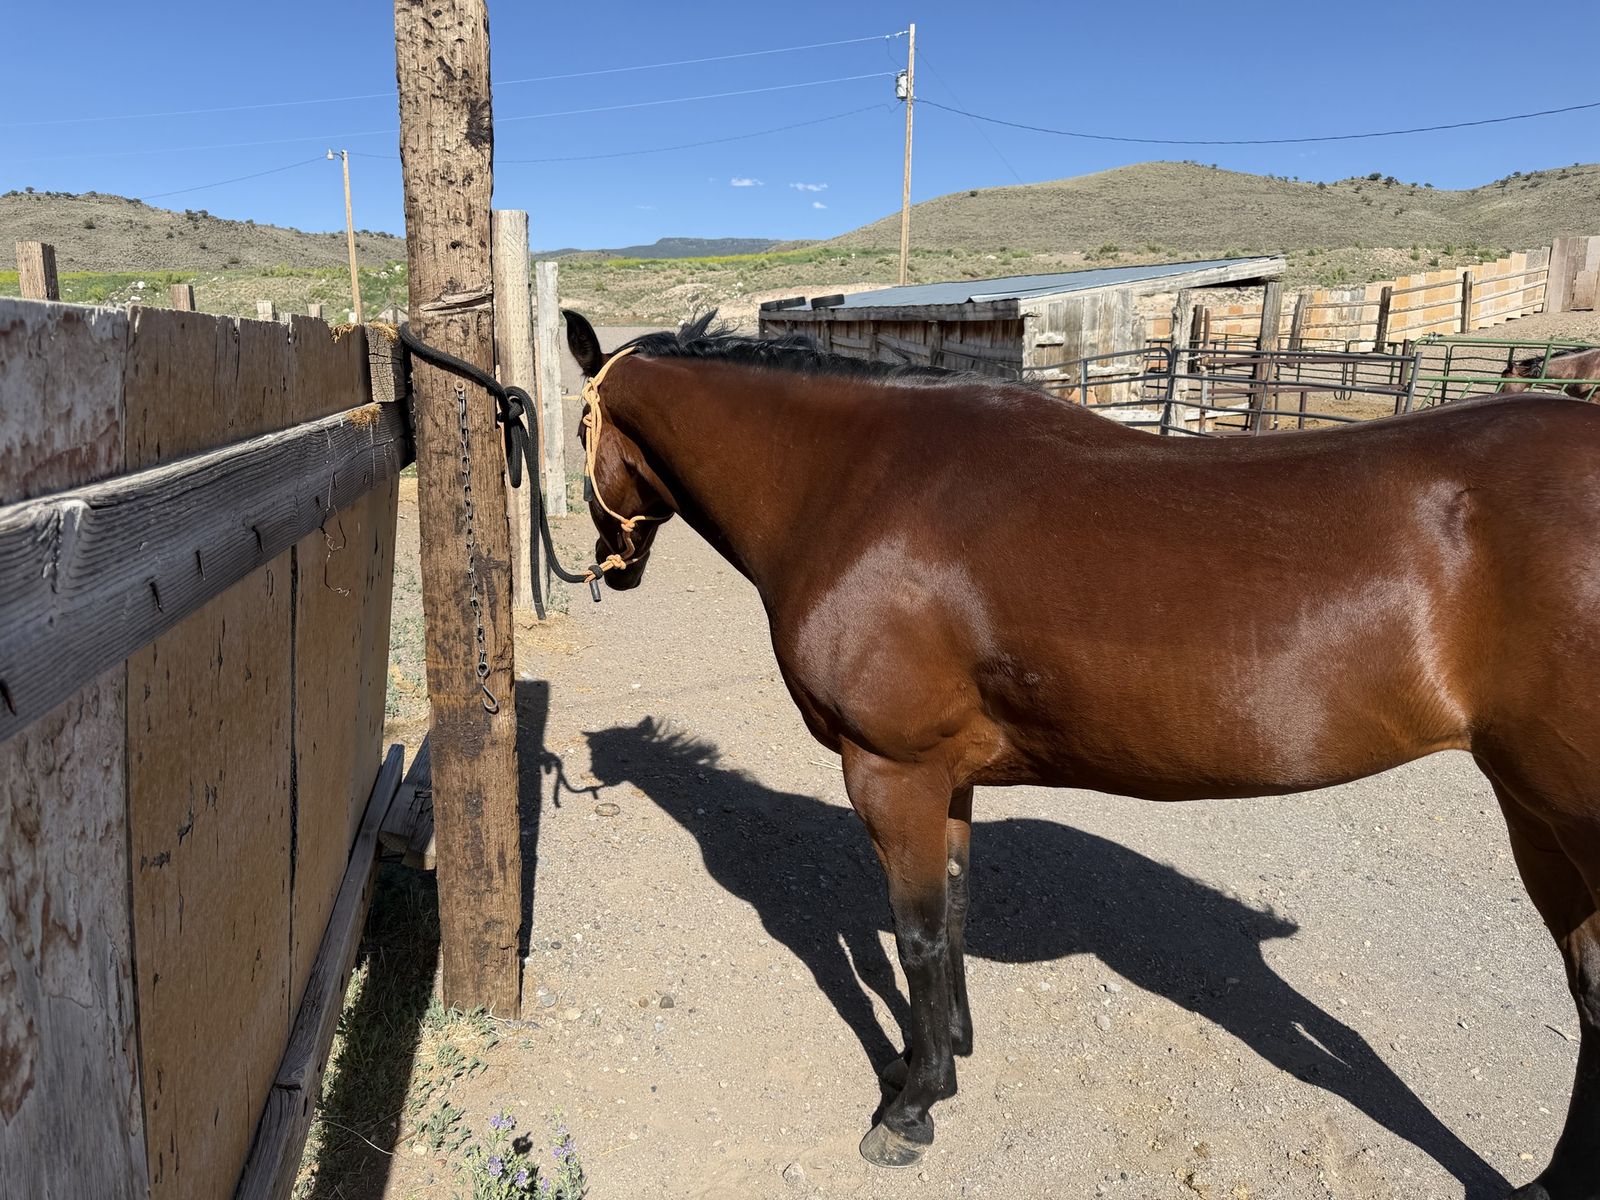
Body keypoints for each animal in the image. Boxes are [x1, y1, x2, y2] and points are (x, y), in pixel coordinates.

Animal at [562, 308, 1600, 1198]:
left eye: (578, 431)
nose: (610, 565)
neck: (852, 484)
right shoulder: (948, 778)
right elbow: (954, 912)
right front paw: (942, 1056)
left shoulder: (890, 770)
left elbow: (916, 933)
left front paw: (911, 1108)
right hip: (1535, 817)